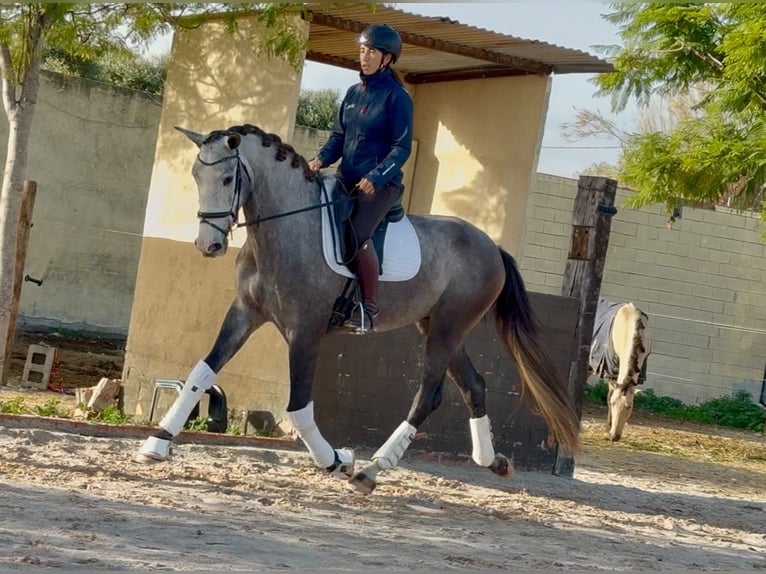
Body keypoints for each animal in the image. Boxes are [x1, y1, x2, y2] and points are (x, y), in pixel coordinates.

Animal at [136, 123, 581, 494]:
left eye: (228, 179)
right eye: (196, 176)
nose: (207, 245)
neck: (286, 228)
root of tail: (491, 246)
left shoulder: (304, 331)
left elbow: (298, 407)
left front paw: (337, 460)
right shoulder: (245, 313)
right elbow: (202, 370)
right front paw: (157, 442)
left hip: (447, 329)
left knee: (428, 395)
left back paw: (371, 470)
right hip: (438, 326)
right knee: (474, 385)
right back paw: (494, 461)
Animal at [588, 297, 651, 441]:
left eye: (628, 407)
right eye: (613, 404)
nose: (614, 436)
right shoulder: (611, 370)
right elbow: (609, 395)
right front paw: (607, 430)